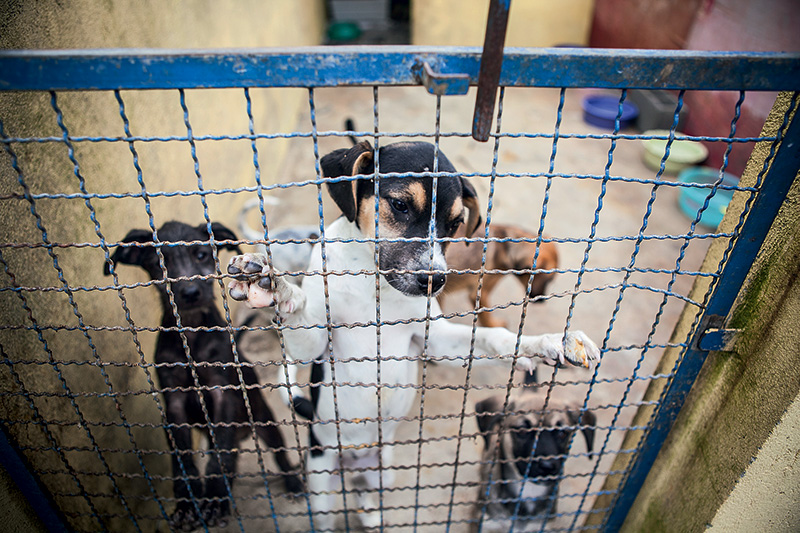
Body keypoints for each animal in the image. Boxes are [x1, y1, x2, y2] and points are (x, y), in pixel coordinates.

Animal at [106, 219, 304, 528]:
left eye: (201, 255)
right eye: (157, 261)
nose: (189, 294)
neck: (192, 333)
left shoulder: (224, 394)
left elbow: (220, 456)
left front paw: (214, 499)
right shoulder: (174, 403)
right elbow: (183, 459)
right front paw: (188, 503)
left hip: (263, 419)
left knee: (278, 451)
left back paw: (292, 482)